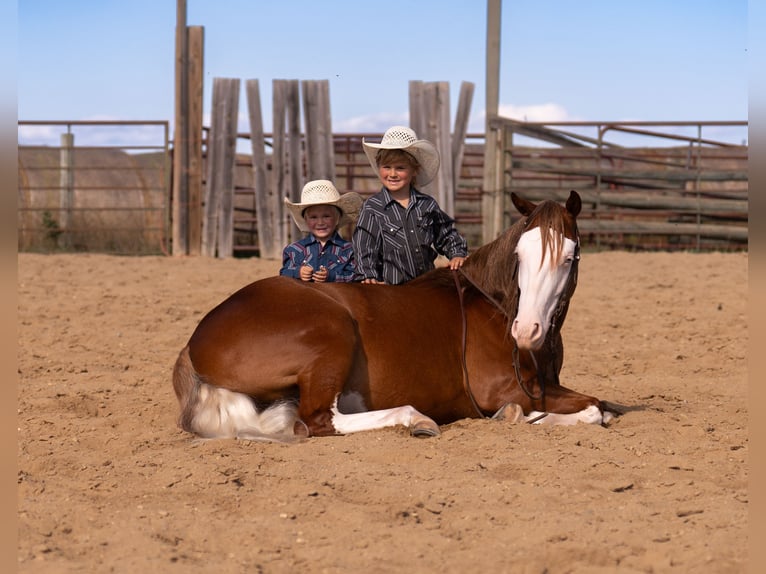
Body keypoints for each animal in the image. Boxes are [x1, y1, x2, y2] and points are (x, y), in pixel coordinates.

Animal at [172, 190, 612, 441]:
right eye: (520, 254)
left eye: (570, 256)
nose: (526, 330)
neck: (493, 307)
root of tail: (194, 342)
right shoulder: (507, 390)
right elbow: (595, 408)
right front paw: (519, 417)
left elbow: (600, 407)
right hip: (332, 335)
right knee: (316, 421)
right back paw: (415, 418)